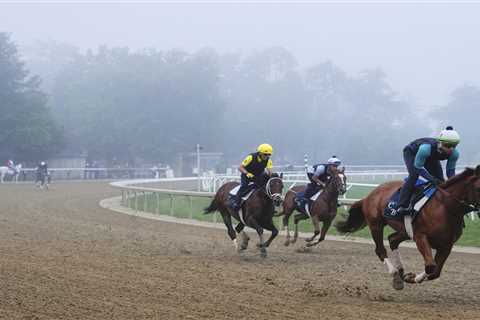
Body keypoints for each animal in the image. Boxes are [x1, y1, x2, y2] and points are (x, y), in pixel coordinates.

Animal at [338, 166, 480, 292]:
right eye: (478, 187)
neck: (445, 207)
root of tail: (369, 195)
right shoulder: (420, 237)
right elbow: (430, 266)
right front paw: (411, 278)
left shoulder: (447, 245)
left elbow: (435, 272)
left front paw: (409, 277)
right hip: (376, 225)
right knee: (380, 250)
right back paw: (395, 275)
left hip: (405, 231)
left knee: (392, 240)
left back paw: (401, 272)